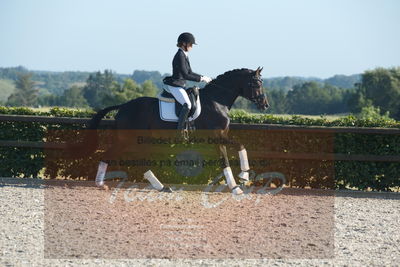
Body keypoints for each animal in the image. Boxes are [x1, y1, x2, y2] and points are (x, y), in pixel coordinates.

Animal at [75, 68, 268, 196]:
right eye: (256, 83)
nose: (265, 105)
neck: (216, 101)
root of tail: (123, 106)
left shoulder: (220, 137)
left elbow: (237, 150)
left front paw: (241, 179)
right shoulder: (216, 138)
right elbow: (230, 156)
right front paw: (238, 184)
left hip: (140, 141)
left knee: (140, 161)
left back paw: (161, 187)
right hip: (127, 140)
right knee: (108, 155)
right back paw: (101, 184)